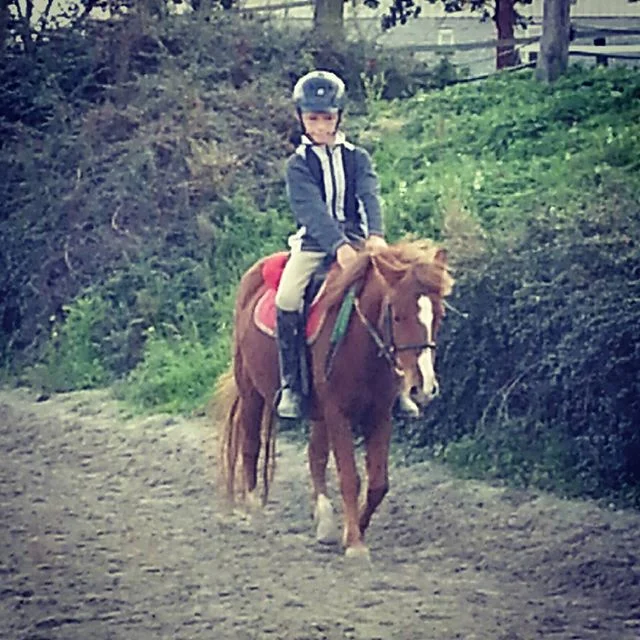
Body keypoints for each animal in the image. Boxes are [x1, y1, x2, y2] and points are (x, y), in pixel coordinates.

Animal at [214, 239, 454, 558]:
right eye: (397, 315)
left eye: (438, 316)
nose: (423, 387)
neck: (361, 344)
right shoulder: (338, 412)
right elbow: (350, 478)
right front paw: (354, 544)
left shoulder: (380, 414)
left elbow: (378, 483)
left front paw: (353, 530)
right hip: (252, 389)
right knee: (251, 444)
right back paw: (254, 513)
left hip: (317, 412)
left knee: (315, 456)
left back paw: (325, 524)